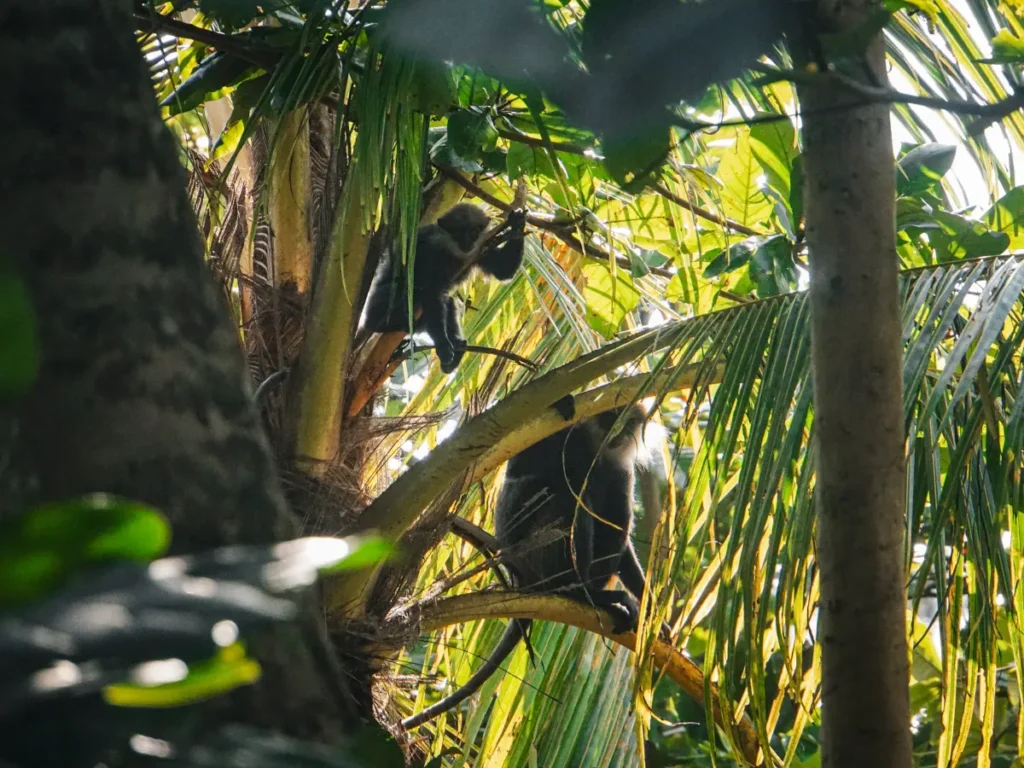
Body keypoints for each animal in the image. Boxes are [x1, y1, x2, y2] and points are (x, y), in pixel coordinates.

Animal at [358, 203, 526, 374]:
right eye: (458, 232)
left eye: (473, 232)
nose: (467, 243)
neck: (452, 251)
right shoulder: (430, 249)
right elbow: (430, 293)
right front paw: (443, 345)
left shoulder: (483, 246)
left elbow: (504, 269)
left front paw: (518, 222)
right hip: (379, 303)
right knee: (414, 294)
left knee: (448, 302)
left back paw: (457, 348)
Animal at [401, 403, 659, 730]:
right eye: (610, 417)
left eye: (628, 424)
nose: (618, 432)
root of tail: (520, 575)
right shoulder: (567, 437)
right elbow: (521, 468)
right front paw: (562, 402)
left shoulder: (619, 468)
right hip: (527, 551)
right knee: (562, 496)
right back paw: (581, 592)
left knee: (611, 511)